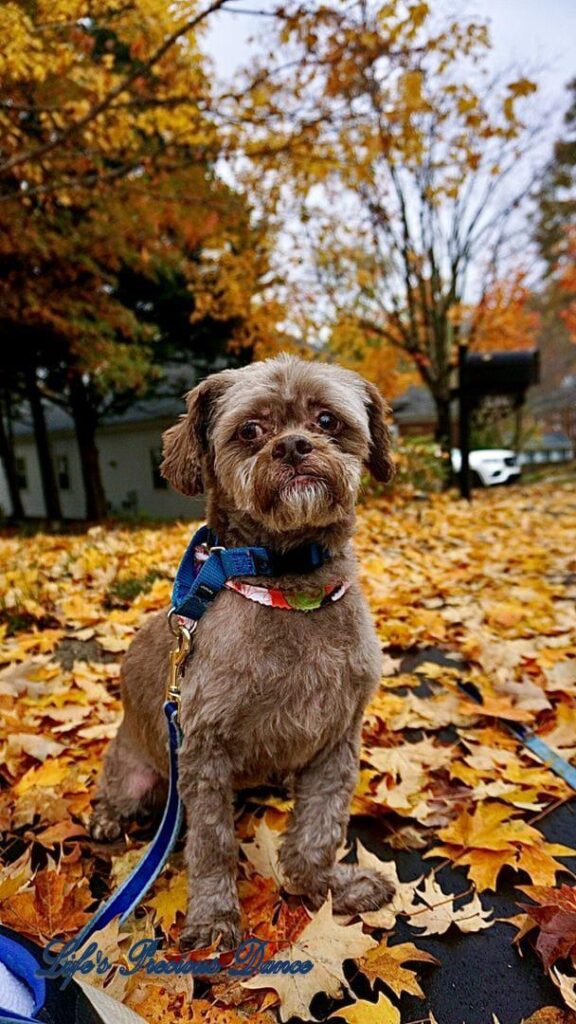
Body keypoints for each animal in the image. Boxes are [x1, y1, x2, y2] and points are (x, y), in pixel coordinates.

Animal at [89, 356, 393, 946]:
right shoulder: (202, 751)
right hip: (137, 772)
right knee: (118, 794)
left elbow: (320, 824)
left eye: (327, 419)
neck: (289, 585)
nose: (293, 446)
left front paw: (324, 885)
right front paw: (213, 917)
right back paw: (109, 818)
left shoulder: (336, 738)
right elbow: (213, 845)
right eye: (250, 430)